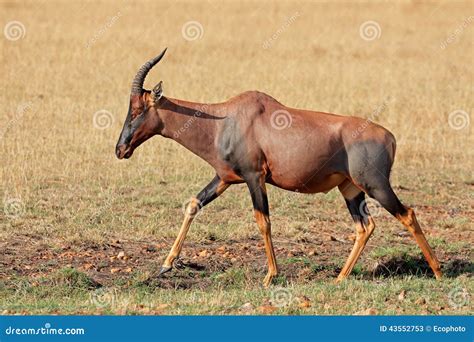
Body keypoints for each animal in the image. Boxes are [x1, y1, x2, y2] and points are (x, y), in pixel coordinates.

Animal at [115, 49, 440, 288]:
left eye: (138, 109)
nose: (120, 149)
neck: (225, 119)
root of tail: (390, 136)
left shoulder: (254, 177)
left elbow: (263, 221)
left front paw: (270, 276)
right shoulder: (224, 178)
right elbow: (194, 204)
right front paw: (165, 265)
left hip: (375, 185)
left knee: (407, 214)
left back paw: (437, 271)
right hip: (350, 189)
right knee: (365, 226)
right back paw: (339, 277)